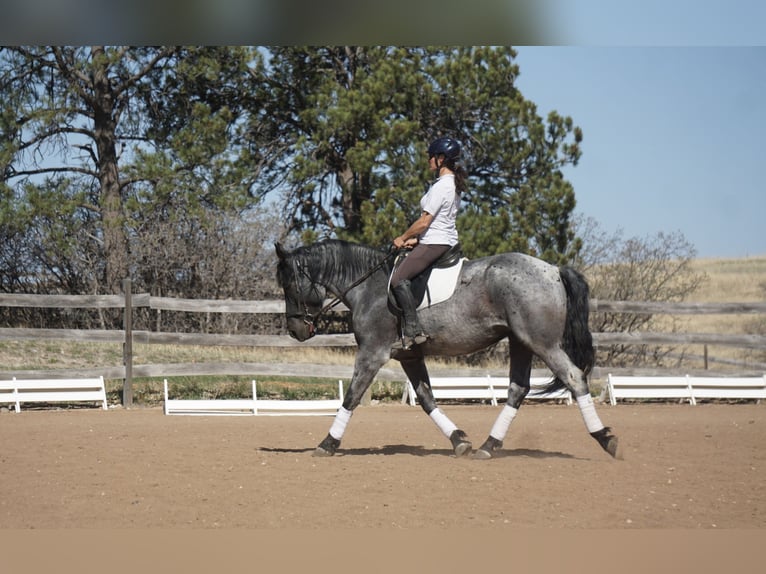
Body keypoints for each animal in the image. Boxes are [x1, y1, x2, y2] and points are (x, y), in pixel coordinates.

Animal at [276, 240, 624, 464]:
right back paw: (488, 446)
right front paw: (460, 441)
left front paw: (327, 443)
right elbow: (426, 399)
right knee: (517, 389)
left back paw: (606, 439)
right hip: (520, 341)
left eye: (289, 285)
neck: (368, 286)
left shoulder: (373, 352)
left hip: (542, 342)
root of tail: (552, 269)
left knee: (573, 377)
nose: (296, 331)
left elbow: (351, 397)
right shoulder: (410, 356)